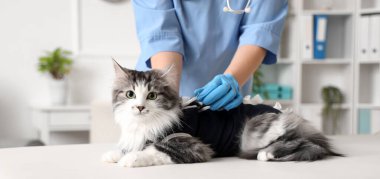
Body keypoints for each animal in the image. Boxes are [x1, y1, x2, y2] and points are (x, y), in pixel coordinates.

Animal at [102, 60, 342, 168]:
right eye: (131, 94)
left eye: (151, 96)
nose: (140, 107)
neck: (143, 124)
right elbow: (127, 146)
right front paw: (114, 154)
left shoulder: (192, 146)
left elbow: (155, 150)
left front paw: (130, 158)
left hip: (253, 130)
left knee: (304, 145)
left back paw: (266, 154)